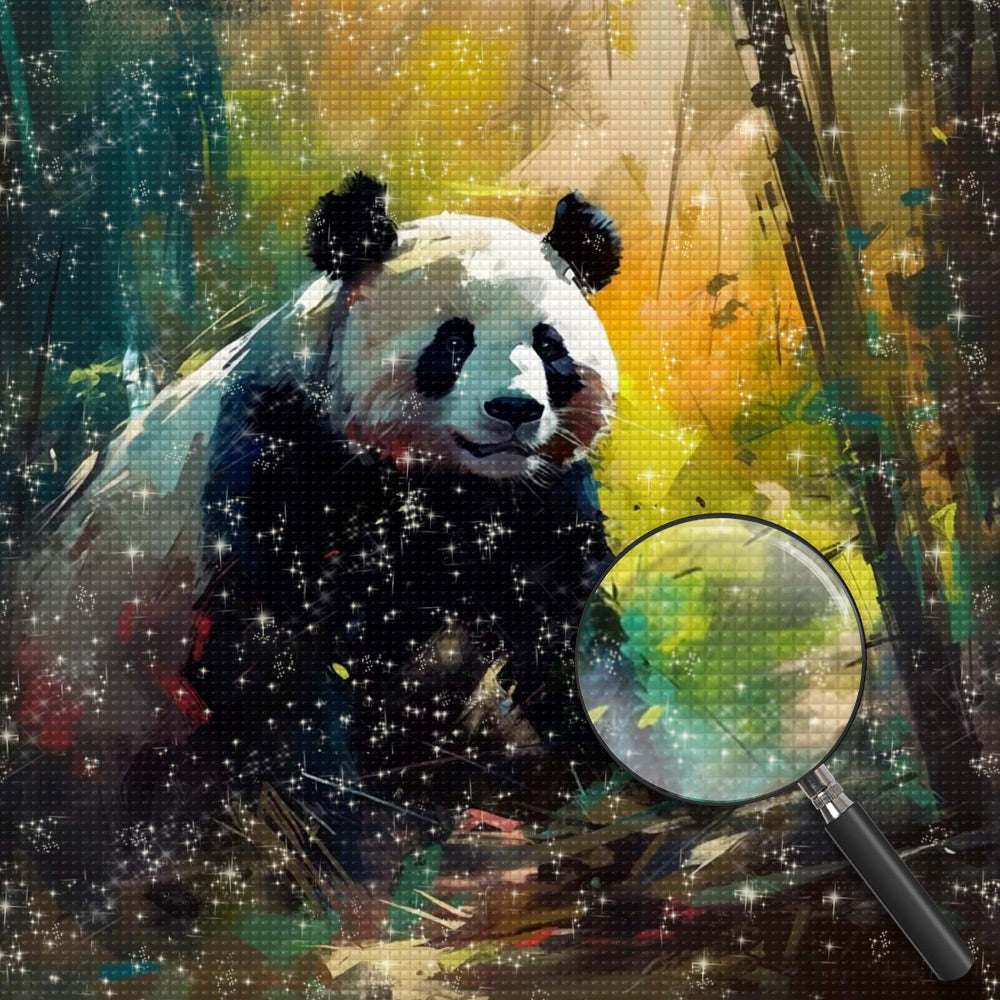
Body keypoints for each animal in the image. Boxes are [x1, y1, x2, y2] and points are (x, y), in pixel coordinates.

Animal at [8, 173, 623, 910]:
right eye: (453, 343)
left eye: (550, 345)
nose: (514, 410)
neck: (444, 476)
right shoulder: (277, 451)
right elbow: (270, 646)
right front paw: (357, 839)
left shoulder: (532, 497)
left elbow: (559, 615)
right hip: (93, 686)